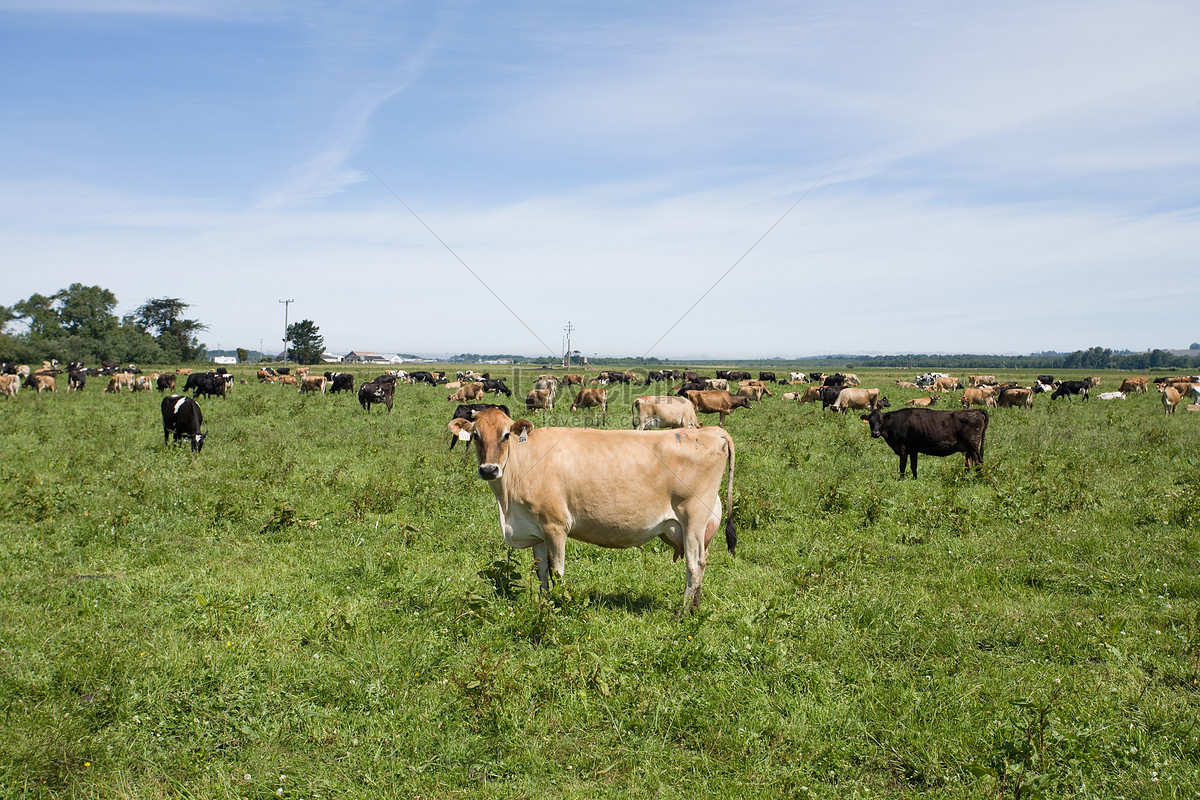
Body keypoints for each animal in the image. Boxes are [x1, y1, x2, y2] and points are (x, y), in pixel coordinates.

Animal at [448, 410, 734, 618]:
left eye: (506, 435)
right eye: (475, 436)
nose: (489, 469)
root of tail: (710, 431)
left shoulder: (555, 526)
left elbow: (557, 571)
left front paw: (558, 605)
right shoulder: (535, 530)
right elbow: (541, 572)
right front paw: (544, 602)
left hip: (693, 518)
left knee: (695, 564)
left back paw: (683, 614)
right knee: (702, 562)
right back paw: (695, 608)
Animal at [864, 410, 993, 479]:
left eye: (881, 421)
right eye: (870, 421)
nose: (875, 433)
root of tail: (977, 410)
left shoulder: (903, 449)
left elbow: (902, 466)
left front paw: (901, 480)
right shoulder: (913, 449)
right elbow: (913, 466)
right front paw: (915, 479)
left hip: (973, 446)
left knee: (978, 463)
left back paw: (977, 479)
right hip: (968, 449)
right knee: (969, 464)